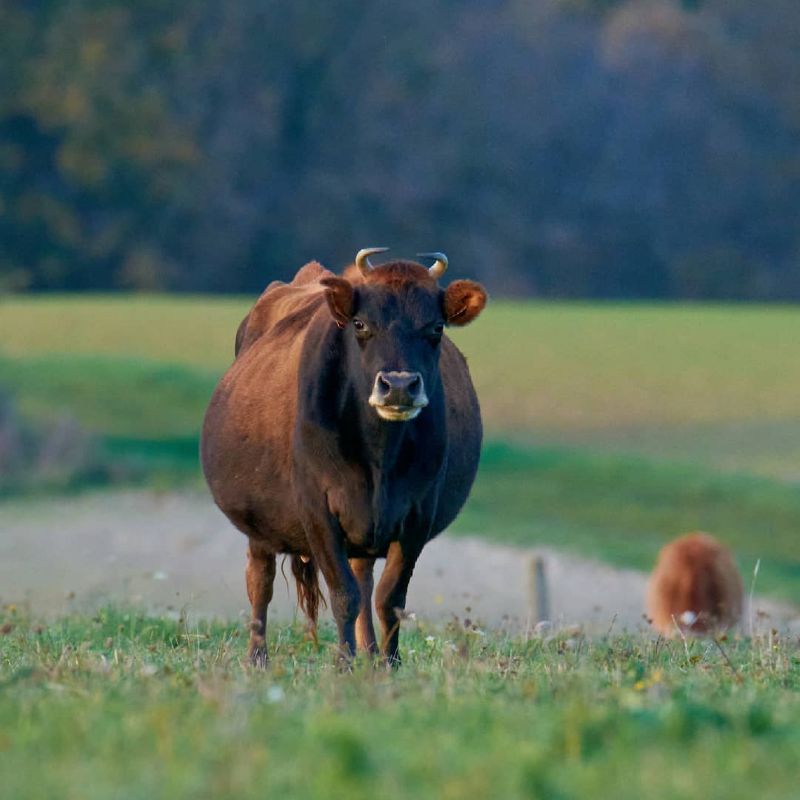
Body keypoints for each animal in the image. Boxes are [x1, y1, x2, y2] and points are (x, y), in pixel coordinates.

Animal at [201, 248, 487, 665]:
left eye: (436, 328)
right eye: (361, 324)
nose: (398, 386)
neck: (380, 459)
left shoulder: (418, 514)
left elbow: (388, 598)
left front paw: (388, 663)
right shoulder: (317, 510)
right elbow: (343, 594)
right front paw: (344, 663)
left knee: (364, 578)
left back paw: (368, 650)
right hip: (258, 522)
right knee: (260, 579)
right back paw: (258, 657)